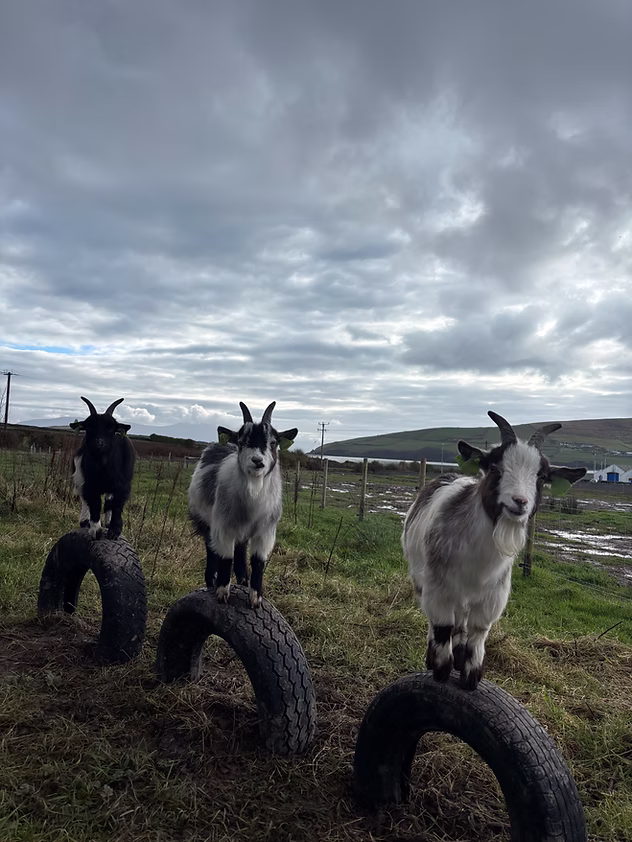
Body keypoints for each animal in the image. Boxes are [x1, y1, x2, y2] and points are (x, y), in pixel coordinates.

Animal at [70, 397, 135, 539]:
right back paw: (85, 521)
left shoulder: (122, 484)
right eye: (88, 427)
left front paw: (115, 530)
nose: (98, 444)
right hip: (80, 478)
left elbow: (116, 504)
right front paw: (95, 530)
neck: (104, 467)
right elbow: (94, 503)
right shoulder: (90, 484)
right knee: (84, 498)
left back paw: (108, 522)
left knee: (109, 500)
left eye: (112, 428)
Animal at [188, 401, 298, 608]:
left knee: (240, 550)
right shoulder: (223, 527)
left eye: (273, 443)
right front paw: (222, 592)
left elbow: (258, 561)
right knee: (211, 547)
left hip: (242, 531)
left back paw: (243, 580)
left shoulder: (265, 532)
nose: (257, 461)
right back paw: (211, 580)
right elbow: (225, 557)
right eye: (241, 442)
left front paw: (255, 597)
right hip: (204, 519)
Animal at [402, 411, 586, 690]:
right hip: (422, 578)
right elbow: (442, 625)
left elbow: (479, 631)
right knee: (439, 622)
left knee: (462, 622)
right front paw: (441, 668)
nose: (519, 502)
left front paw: (470, 673)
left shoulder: (492, 595)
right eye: (495, 468)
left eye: (541, 477)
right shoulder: (439, 588)